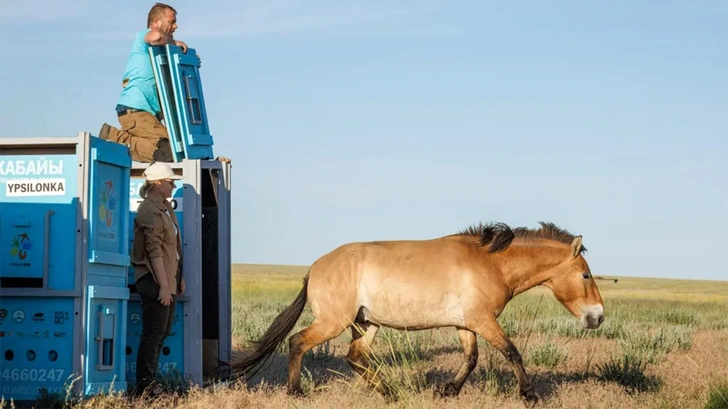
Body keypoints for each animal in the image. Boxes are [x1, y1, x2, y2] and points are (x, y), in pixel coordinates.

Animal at [230, 220, 604, 402]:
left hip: (366, 323)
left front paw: (447, 391)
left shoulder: (467, 324)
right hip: (335, 322)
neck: (491, 263)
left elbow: (470, 358)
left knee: (355, 357)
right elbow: (512, 352)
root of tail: (314, 268)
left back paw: (390, 393)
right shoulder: (483, 321)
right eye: (586, 275)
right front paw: (530, 395)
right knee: (298, 342)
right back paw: (296, 392)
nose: (598, 317)